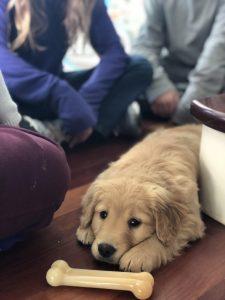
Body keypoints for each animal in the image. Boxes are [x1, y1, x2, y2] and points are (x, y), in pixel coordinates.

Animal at [76, 124, 205, 272]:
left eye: (134, 222)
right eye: (103, 214)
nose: (105, 249)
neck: (144, 170)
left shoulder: (191, 219)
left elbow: (166, 238)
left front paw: (140, 254)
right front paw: (85, 229)